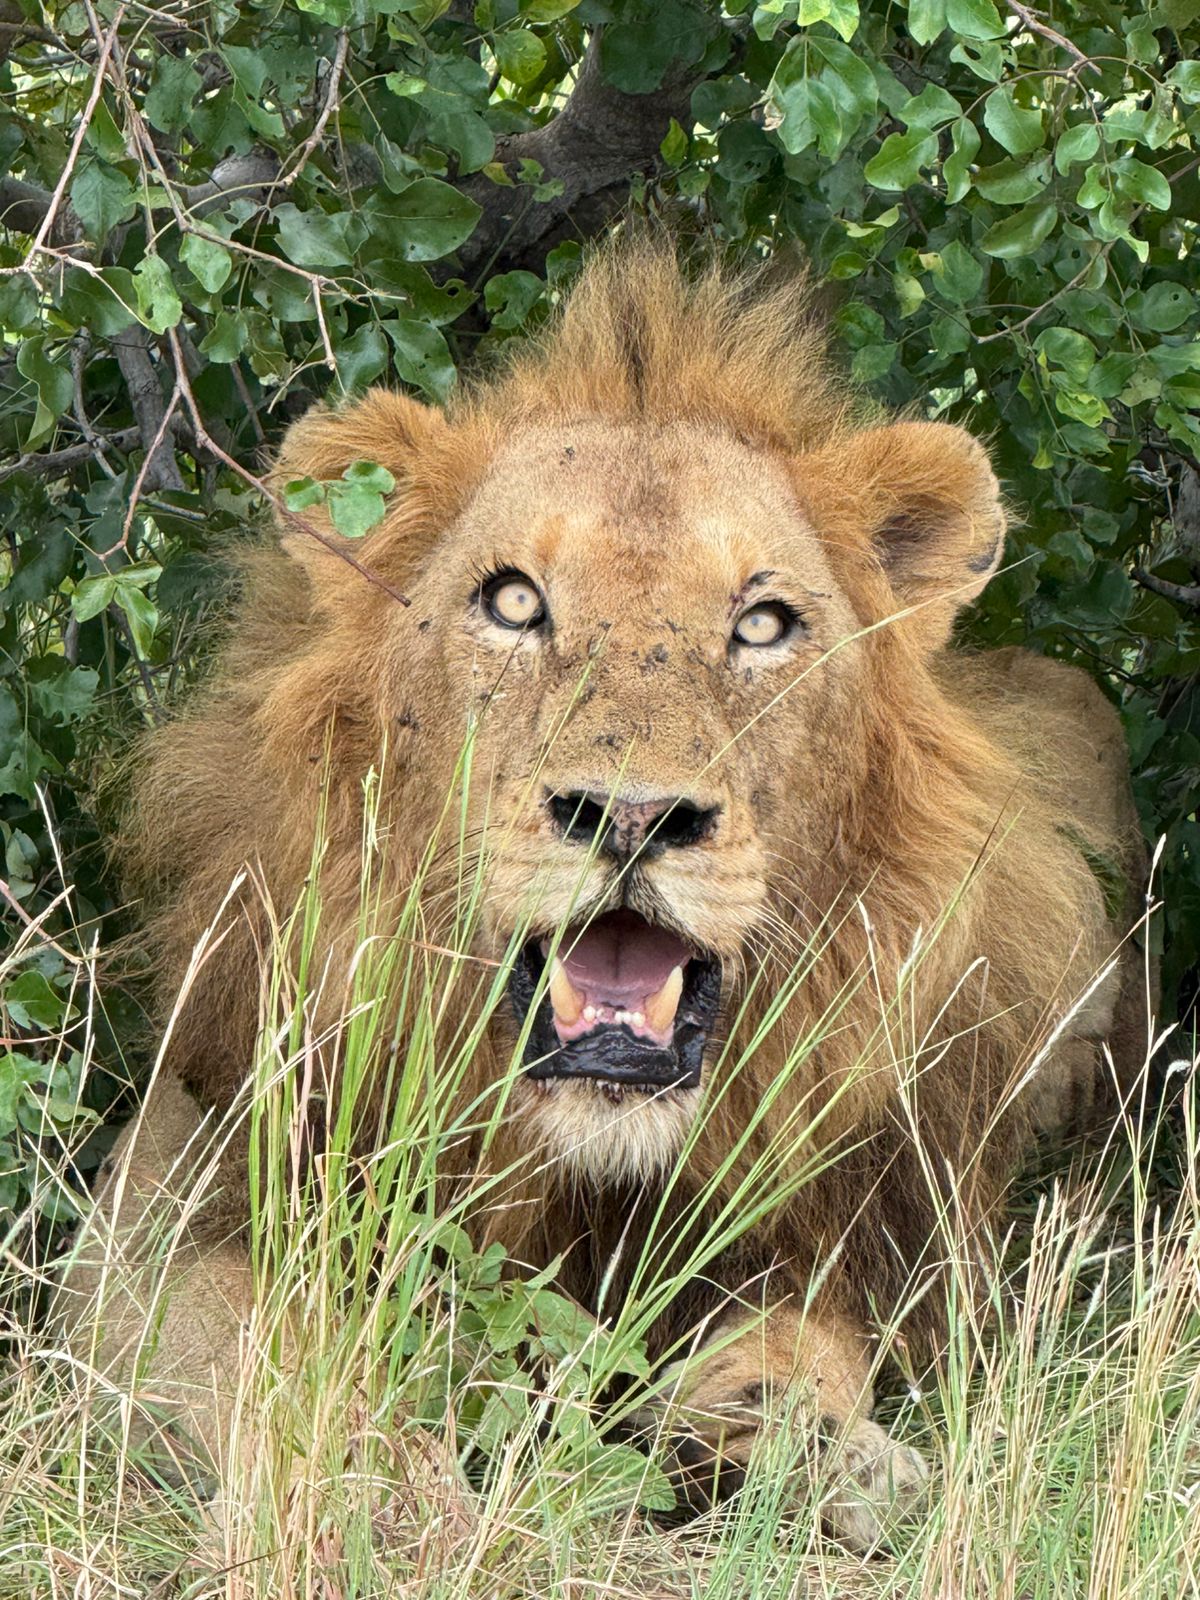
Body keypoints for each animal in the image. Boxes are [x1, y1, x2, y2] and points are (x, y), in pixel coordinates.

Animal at [56, 244, 1150, 1549]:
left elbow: (799, 1353)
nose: (631, 815)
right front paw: (377, 1485)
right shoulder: (157, 1211)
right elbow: (254, 1339)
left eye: (764, 622)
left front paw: (823, 1456)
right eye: (515, 601)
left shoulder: (840, 1243)